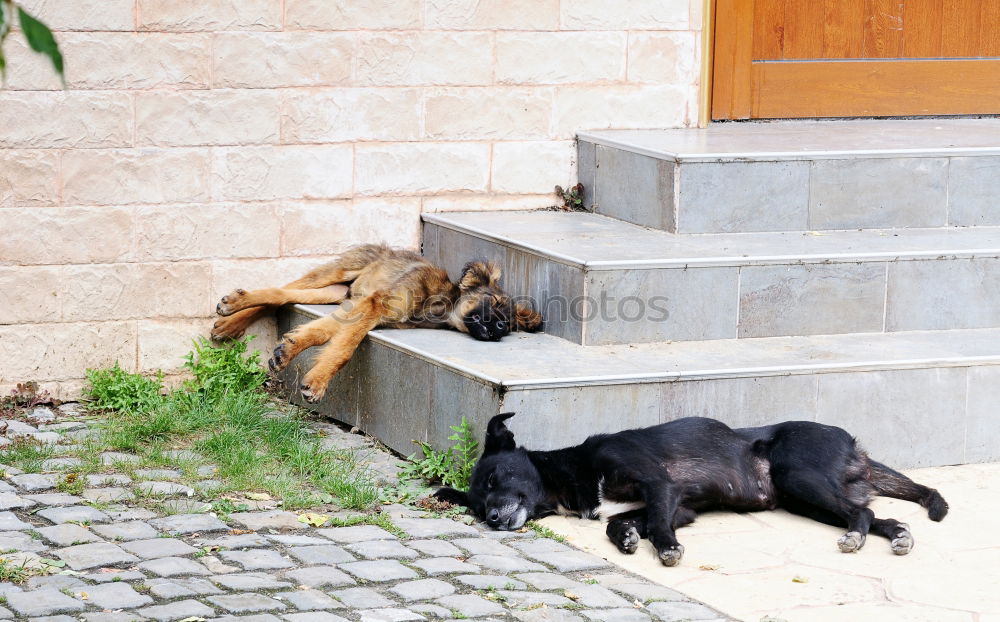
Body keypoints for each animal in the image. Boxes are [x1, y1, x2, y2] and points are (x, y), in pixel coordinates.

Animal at [210, 246, 540, 402]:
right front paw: (317, 384)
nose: (500, 328)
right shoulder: (374, 305)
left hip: (337, 294)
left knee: (281, 296)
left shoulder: (358, 309)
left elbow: (323, 336)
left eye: (509, 322)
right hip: (337, 272)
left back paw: (230, 322)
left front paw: (287, 352)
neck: (442, 305)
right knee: (280, 289)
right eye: (493, 302)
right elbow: (345, 348)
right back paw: (233, 308)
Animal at [434, 412, 948, 568]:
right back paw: (898, 536)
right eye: (476, 506)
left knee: (861, 515)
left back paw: (856, 536)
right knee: (882, 515)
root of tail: (852, 443)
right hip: (808, 500)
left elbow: (658, 525)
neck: (572, 471)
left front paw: (663, 549)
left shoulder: (658, 486)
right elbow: (621, 522)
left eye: (496, 480)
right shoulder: (679, 506)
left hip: (799, 477)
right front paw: (627, 537)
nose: (493, 519)